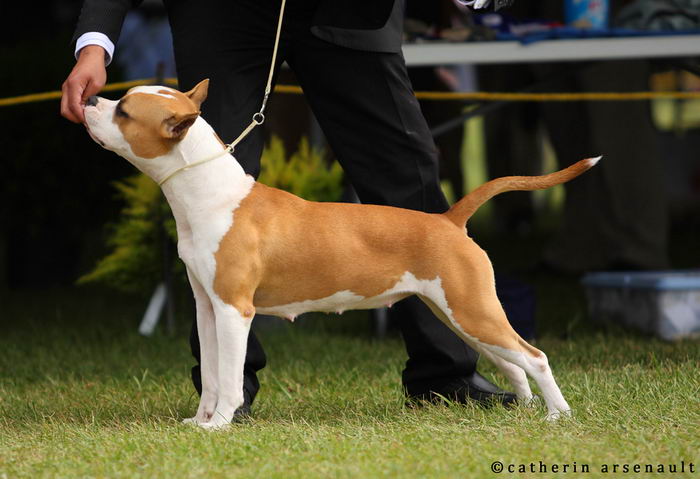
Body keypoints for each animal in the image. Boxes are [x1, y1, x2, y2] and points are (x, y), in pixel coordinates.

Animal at [82, 80, 596, 430]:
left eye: (124, 111)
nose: (87, 99)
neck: (208, 192)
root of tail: (449, 219)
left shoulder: (234, 310)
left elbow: (227, 376)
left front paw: (222, 424)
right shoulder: (207, 308)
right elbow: (210, 373)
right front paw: (201, 421)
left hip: (472, 310)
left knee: (535, 356)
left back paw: (558, 416)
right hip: (459, 312)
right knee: (512, 363)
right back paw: (526, 410)